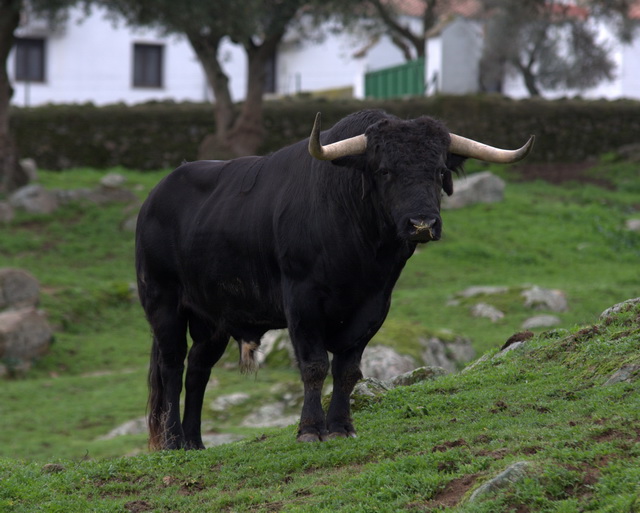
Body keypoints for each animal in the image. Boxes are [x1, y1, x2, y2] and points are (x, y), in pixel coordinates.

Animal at [136, 109, 536, 448]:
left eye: (438, 171)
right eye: (384, 170)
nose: (422, 224)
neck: (359, 254)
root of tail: (155, 196)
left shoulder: (374, 307)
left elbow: (347, 370)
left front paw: (342, 427)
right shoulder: (301, 303)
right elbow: (314, 366)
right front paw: (311, 430)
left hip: (214, 318)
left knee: (198, 369)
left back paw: (195, 443)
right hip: (163, 304)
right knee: (172, 366)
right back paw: (173, 442)